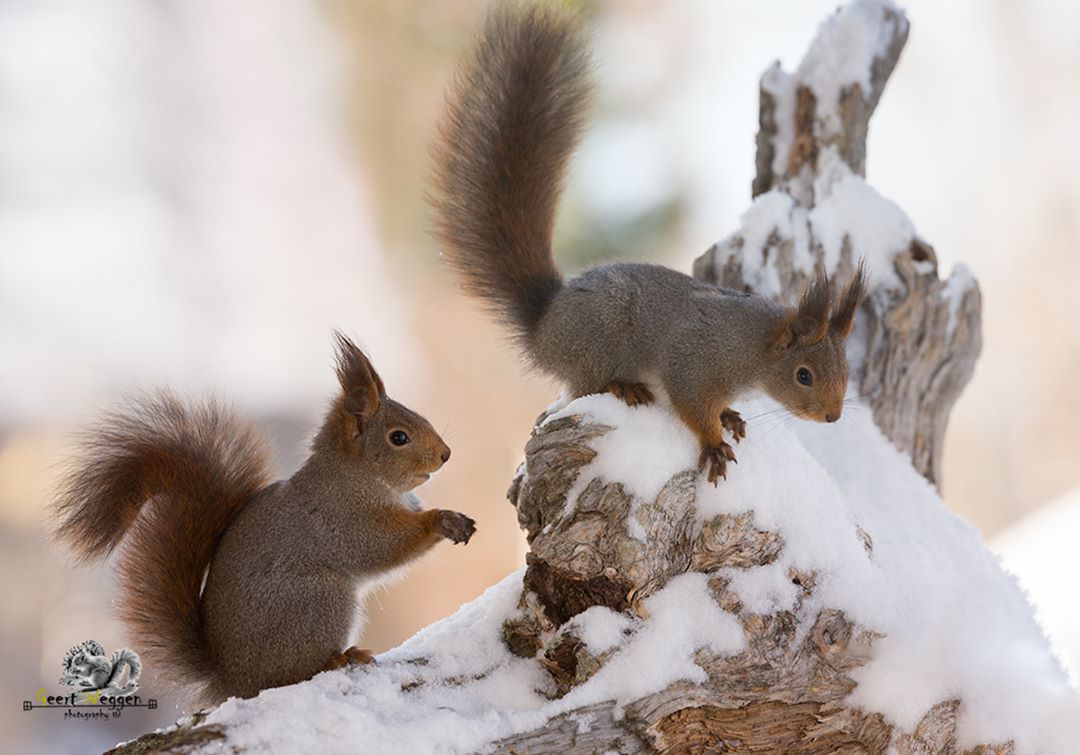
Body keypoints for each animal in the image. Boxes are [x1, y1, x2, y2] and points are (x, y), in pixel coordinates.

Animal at [51, 332, 473, 704]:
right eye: (398, 437)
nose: (447, 454)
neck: (359, 474)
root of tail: (233, 679)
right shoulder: (342, 519)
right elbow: (381, 547)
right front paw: (440, 520)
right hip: (319, 601)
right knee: (295, 674)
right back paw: (340, 658)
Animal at [432, 2, 868, 481]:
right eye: (803, 375)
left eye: (846, 369)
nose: (832, 416)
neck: (752, 347)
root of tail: (545, 328)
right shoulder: (691, 364)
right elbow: (692, 406)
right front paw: (714, 440)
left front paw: (730, 415)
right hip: (596, 341)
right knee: (585, 386)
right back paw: (624, 384)